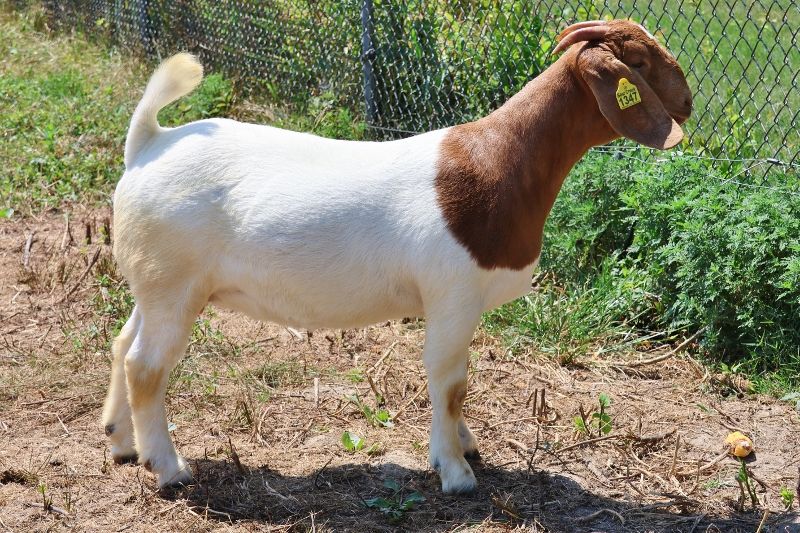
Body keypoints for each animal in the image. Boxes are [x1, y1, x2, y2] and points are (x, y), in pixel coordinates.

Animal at [103, 19, 692, 494]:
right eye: (638, 63)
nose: (687, 103)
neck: (497, 161)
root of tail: (149, 143)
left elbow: (456, 380)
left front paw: (464, 445)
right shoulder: (453, 293)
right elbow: (449, 381)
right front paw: (456, 472)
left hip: (156, 282)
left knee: (123, 343)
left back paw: (122, 442)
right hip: (173, 282)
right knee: (146, 366)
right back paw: (169, 469)